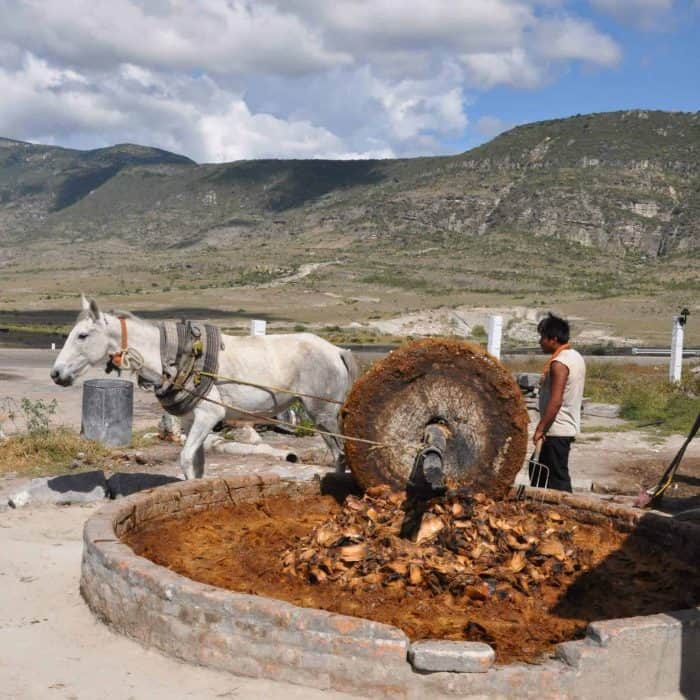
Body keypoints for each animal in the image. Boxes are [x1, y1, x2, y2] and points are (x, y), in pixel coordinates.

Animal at [52, 296, 358, 482]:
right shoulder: (191, 421)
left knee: (340, 454)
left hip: (322, 415)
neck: (174, 356)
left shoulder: (209, 416)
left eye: (82, 335)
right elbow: (196, 463)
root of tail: (336, 350)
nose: (56, 374)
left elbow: (185, 458)